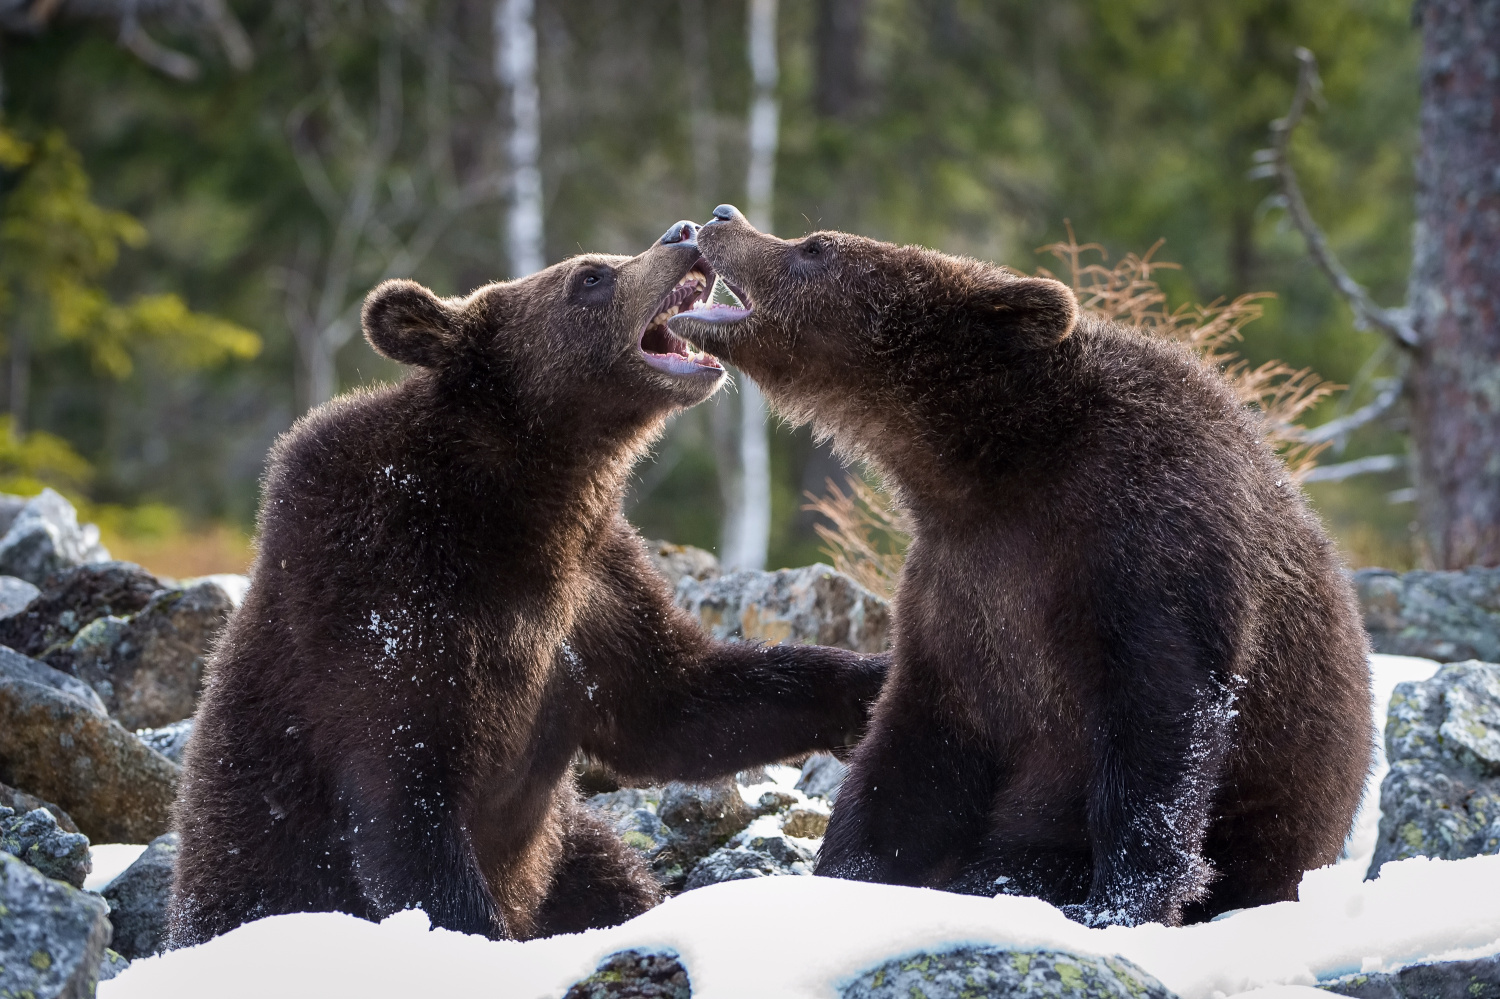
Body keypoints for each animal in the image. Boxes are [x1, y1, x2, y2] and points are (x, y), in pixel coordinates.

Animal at [167, 222, 888, 948]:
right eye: (590, 276)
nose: (682, 233)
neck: (513, 506)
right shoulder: (377, 602)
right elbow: (407, 806)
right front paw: (472, 932)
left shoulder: (592, 592)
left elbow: (680, 701)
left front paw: (871, 682)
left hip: (565, 849)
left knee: (612, 877)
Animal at [675, 204, 1374, 924]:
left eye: (817, 246)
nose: (722, 216)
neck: (994, 461)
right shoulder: (962, 587)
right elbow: (913, 751)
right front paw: (848, 875)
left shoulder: (1146, 552)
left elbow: (1158, 728)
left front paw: (1117, 904)